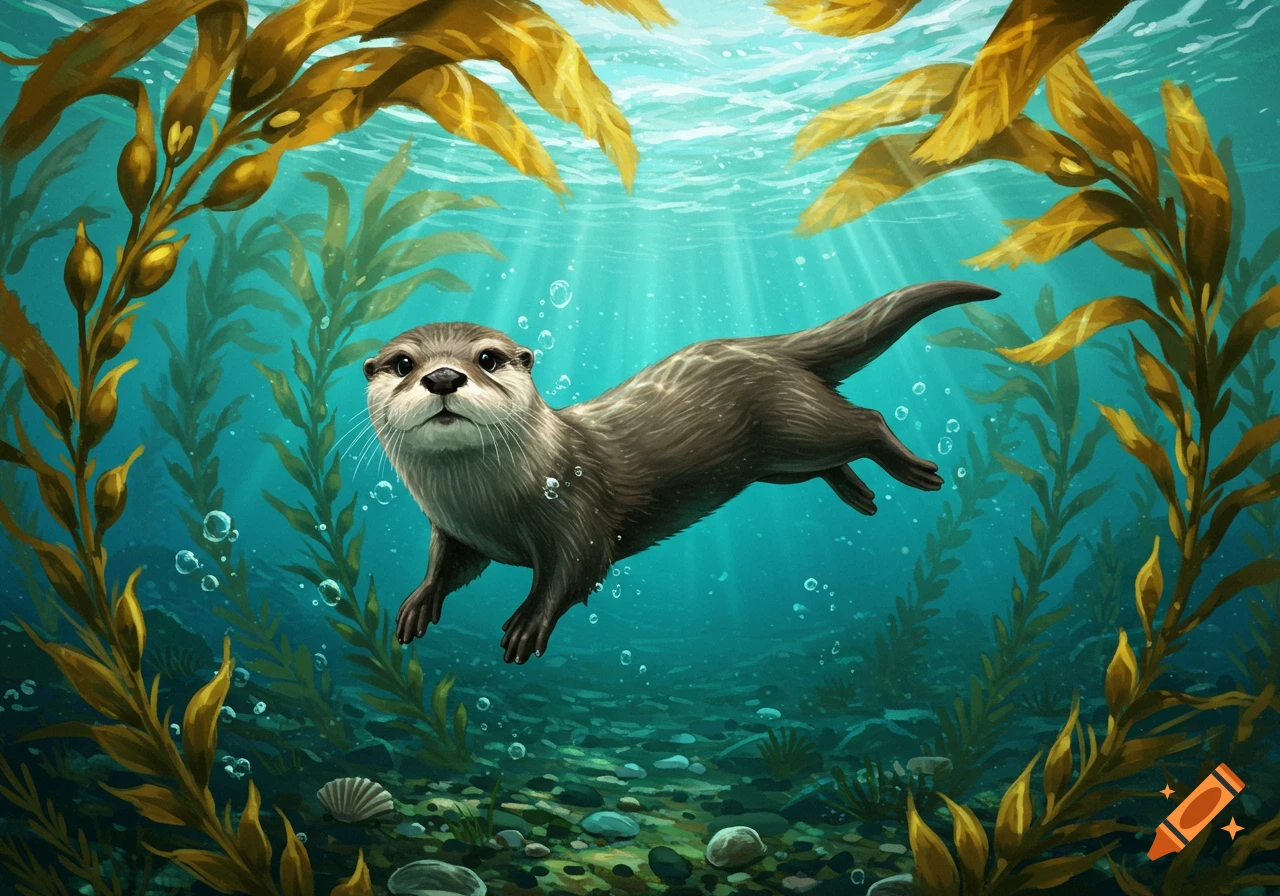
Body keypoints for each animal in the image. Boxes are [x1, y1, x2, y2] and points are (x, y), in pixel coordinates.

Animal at [363, 280, 998, 663]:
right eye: (402, 363)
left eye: (488, 359)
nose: (443, 377)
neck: (489, 503)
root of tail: (768, 346)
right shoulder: (456, 529)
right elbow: (447, 565)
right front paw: (417, 603)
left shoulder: (575, 511)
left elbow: (573, 571)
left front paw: (525, 623)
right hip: (778, 461)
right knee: (832, 456)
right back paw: (859, 494)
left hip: (795, 423)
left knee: (866, 420)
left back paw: (917, 470)